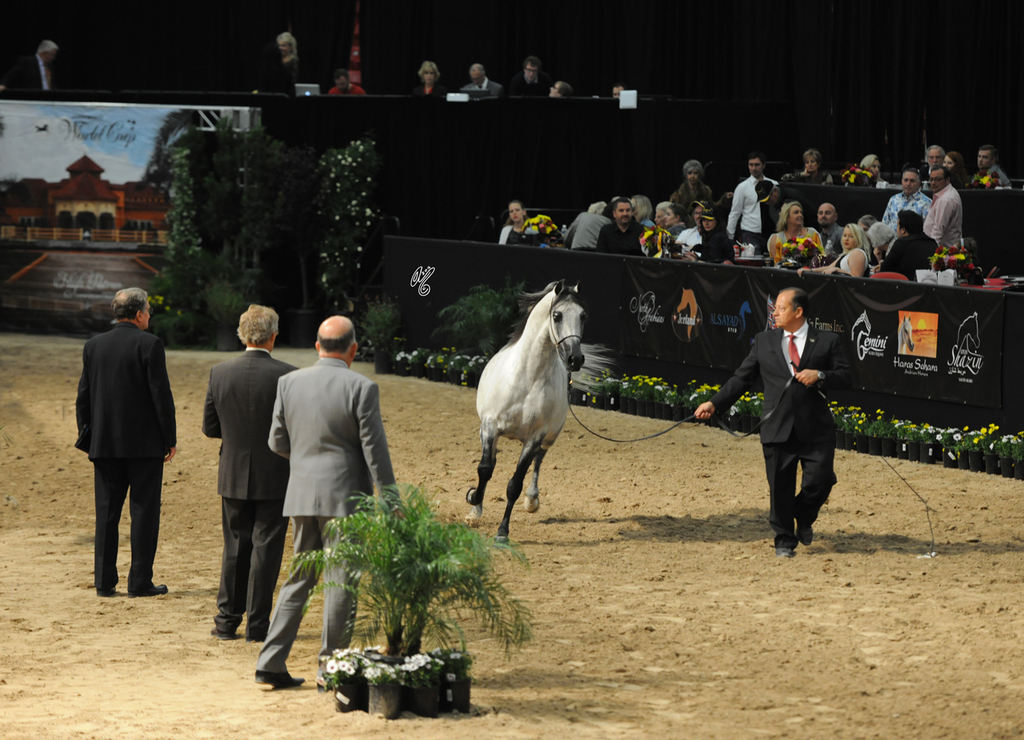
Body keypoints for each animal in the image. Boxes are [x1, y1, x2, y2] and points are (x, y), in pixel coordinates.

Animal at [465, 280, 608, 541]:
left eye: (583, 316)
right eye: (557, 315)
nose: (575, 359)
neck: (527, 378)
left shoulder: (535, 437)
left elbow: (515, 484)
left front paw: (502, 532)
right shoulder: (490, 427)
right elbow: (485, 470)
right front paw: (473, 502)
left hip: (549, 437)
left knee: (538, 461)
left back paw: (532, 501)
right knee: (491, 462)